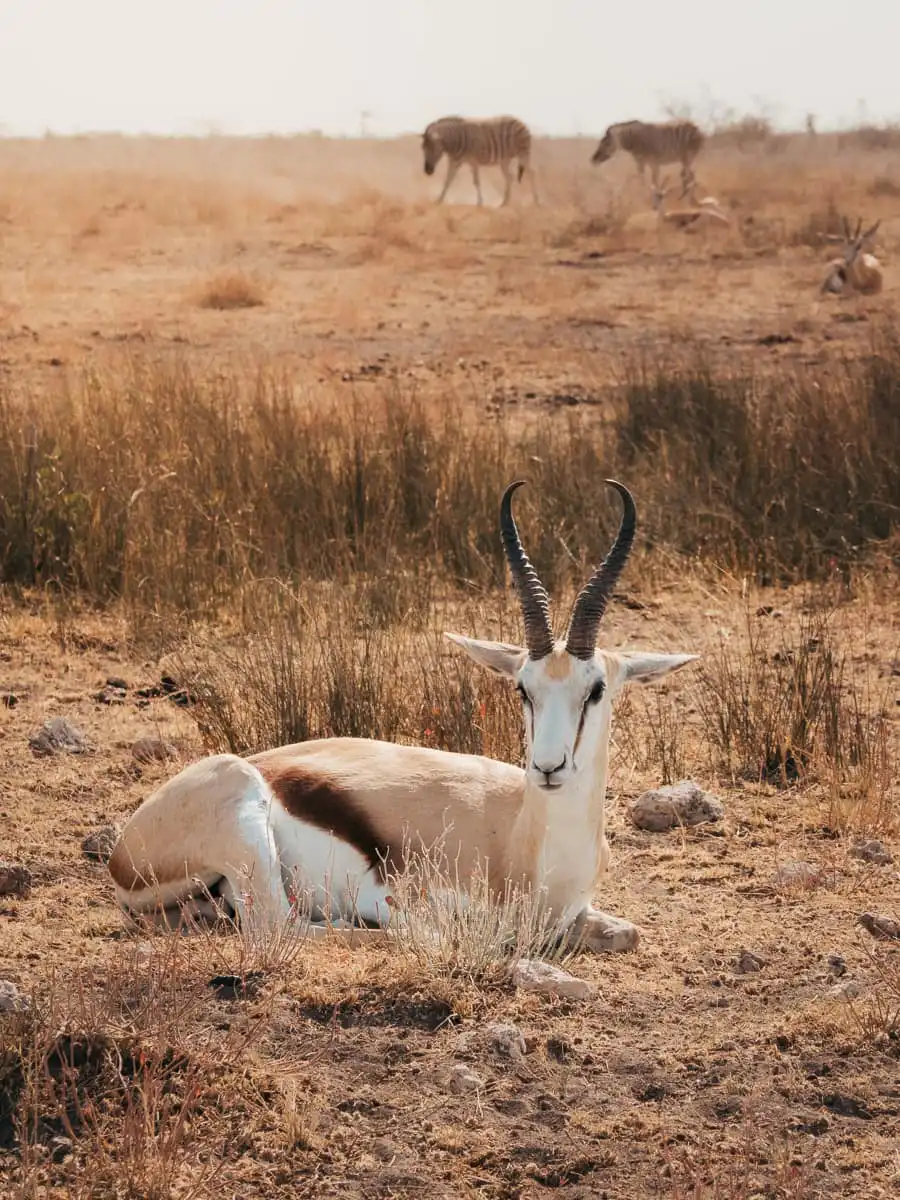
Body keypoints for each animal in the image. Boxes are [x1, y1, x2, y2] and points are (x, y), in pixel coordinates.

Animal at [109, 481, 697, 953]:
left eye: (595, 689)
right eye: (522, 689)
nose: (548, 768)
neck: (524, 848)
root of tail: (124, 850)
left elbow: (628, 932)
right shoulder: (413, 900)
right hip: (248, 827)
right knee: (281, 926)